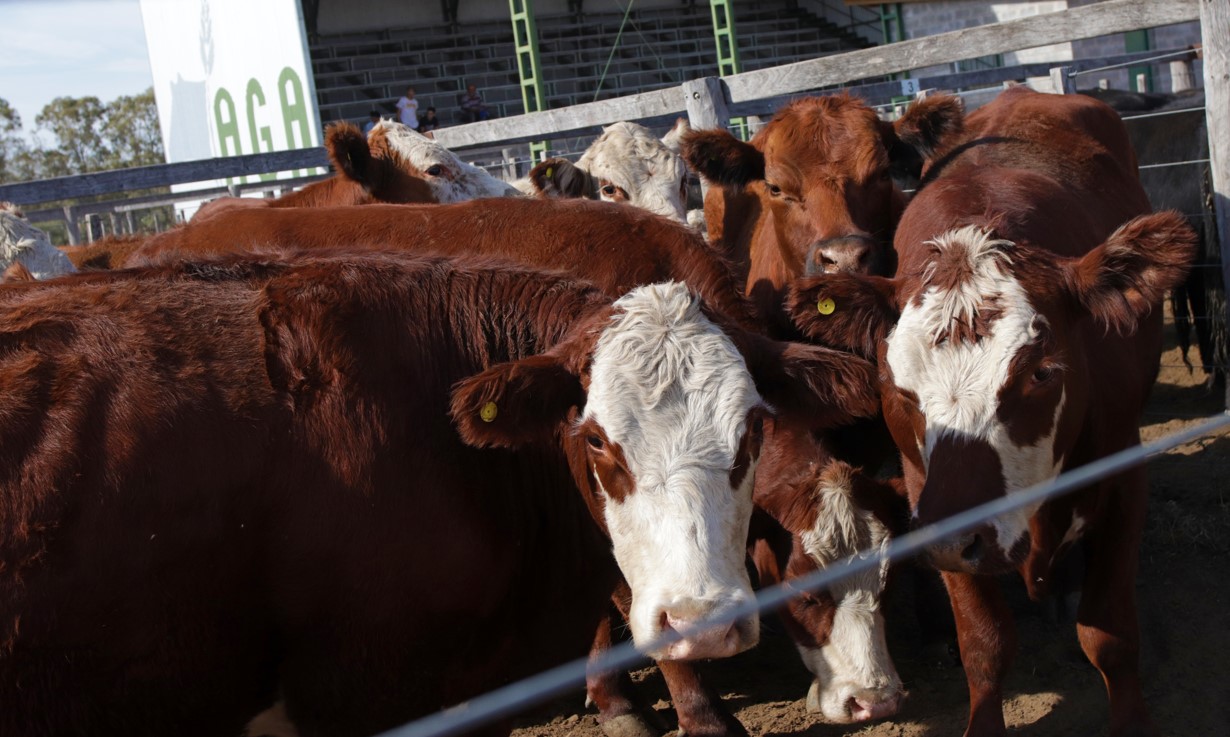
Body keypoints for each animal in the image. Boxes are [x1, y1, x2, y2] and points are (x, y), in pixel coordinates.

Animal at [782, 84, 1195, 733]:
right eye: (897, 385)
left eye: (1041, 372)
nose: (963, 532)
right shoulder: (929, 502)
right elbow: (983, 642)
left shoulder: (1125, 475)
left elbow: (1110, 635)